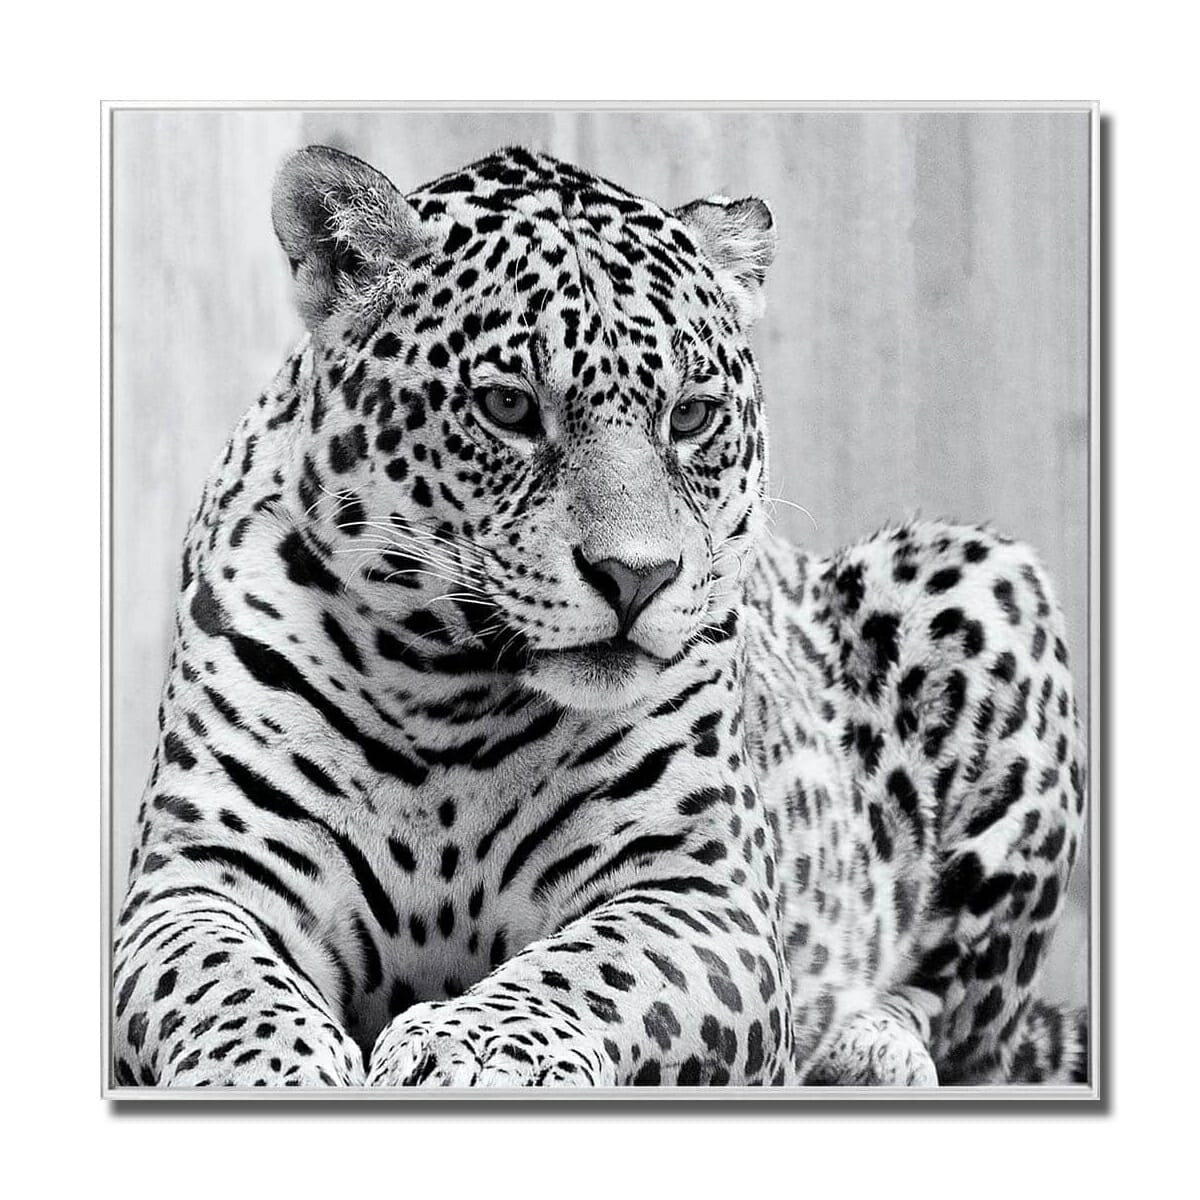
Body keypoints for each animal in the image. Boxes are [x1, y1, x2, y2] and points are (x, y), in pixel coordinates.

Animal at [112, 144, 1088, 1089]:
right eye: (507, 406)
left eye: (691, 417)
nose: (635, 577)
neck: (443, 695)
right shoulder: (200, 878)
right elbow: (221, 984)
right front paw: (271, 1070)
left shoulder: (699, 890)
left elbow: (590, 968)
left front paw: (470, 1047)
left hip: (984, 576)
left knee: (965, 1024)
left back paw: (866, 1047)